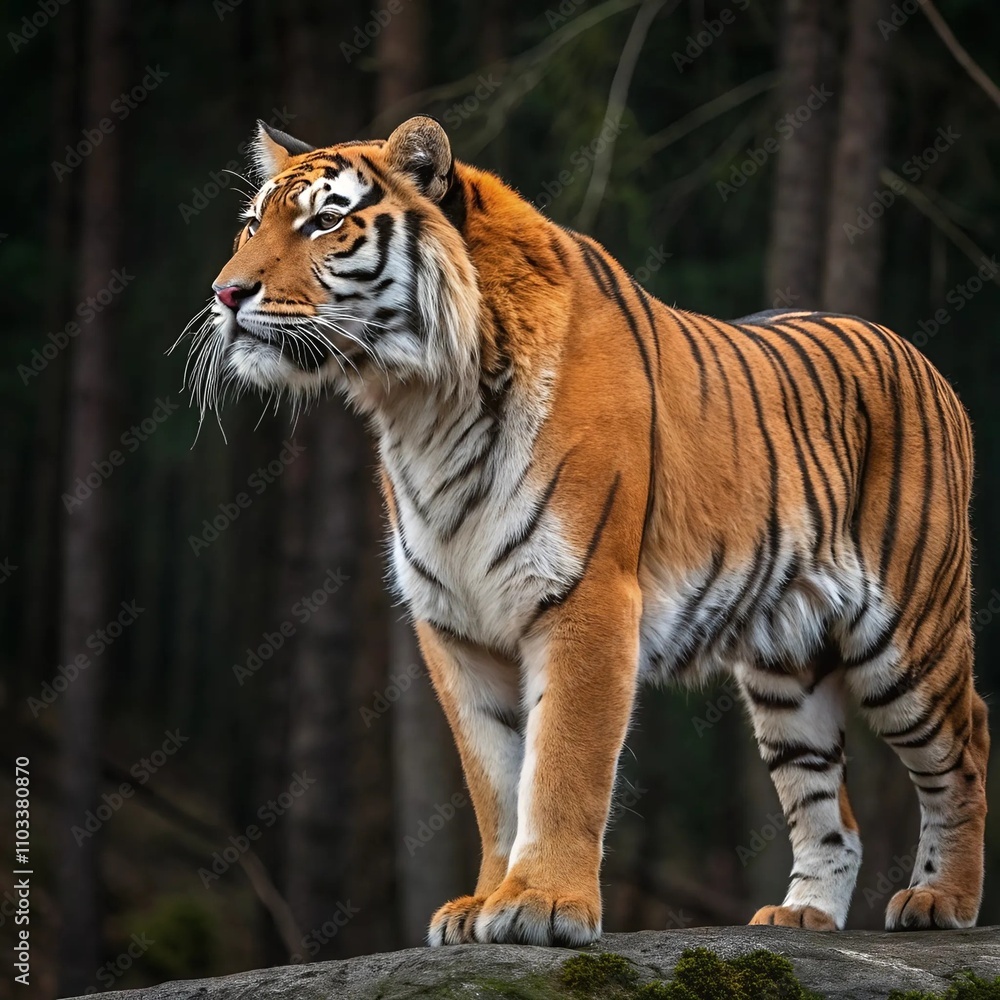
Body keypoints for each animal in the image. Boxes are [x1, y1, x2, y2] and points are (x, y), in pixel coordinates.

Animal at [181, 114, 990, 946]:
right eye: (251, 224)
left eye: (325, 223)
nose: (225, 292)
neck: (422, 405)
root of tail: (921, 358)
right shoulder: (456, 625)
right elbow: (496, 780)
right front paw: (481, 905)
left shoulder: (585, 594)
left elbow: (563, 763)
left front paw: (541, 903)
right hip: (786, 671)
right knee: (827, 801)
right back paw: (804, 914)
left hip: (908, 634)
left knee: (967, 745)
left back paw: (940, 900)